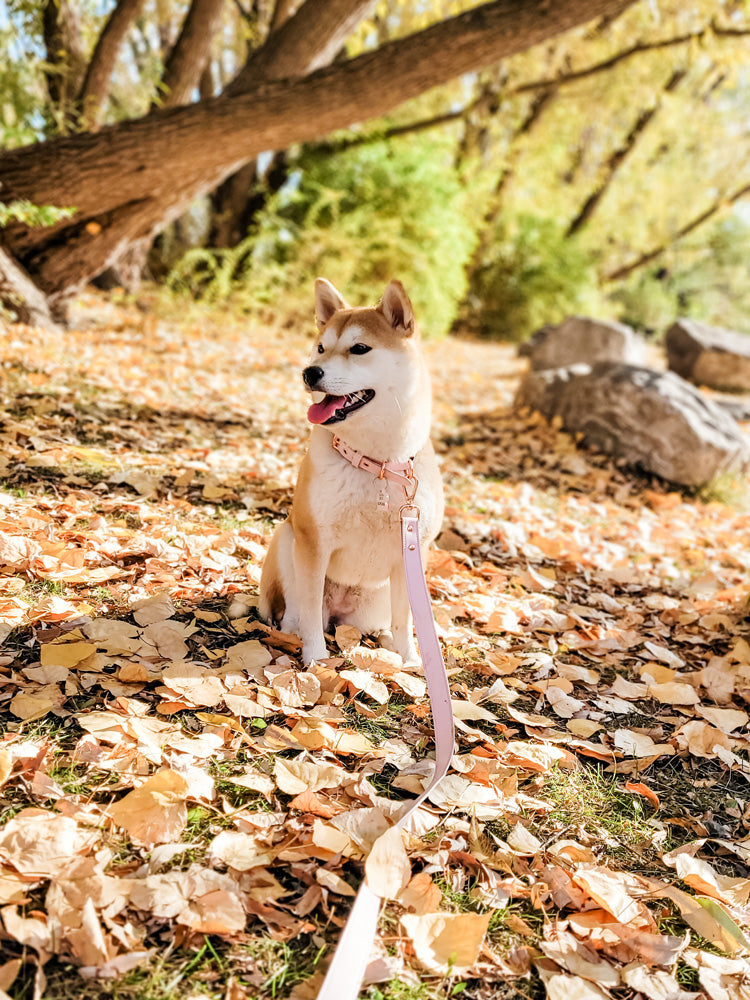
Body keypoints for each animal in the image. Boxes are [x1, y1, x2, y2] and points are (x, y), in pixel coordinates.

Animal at [262, 280, 444, 664]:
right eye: (320, 348)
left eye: (359, 349)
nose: (310, 372)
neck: (376, 463)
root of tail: (340, 613)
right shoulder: (314, 543)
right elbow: (309, 610)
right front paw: (316, 660)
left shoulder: (412, 553)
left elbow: (407, 618)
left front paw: (410, 660)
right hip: (287, 539)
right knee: (296, 611)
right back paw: (292, 633)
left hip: (378, 596)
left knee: (383, 622)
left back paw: (385, 641)